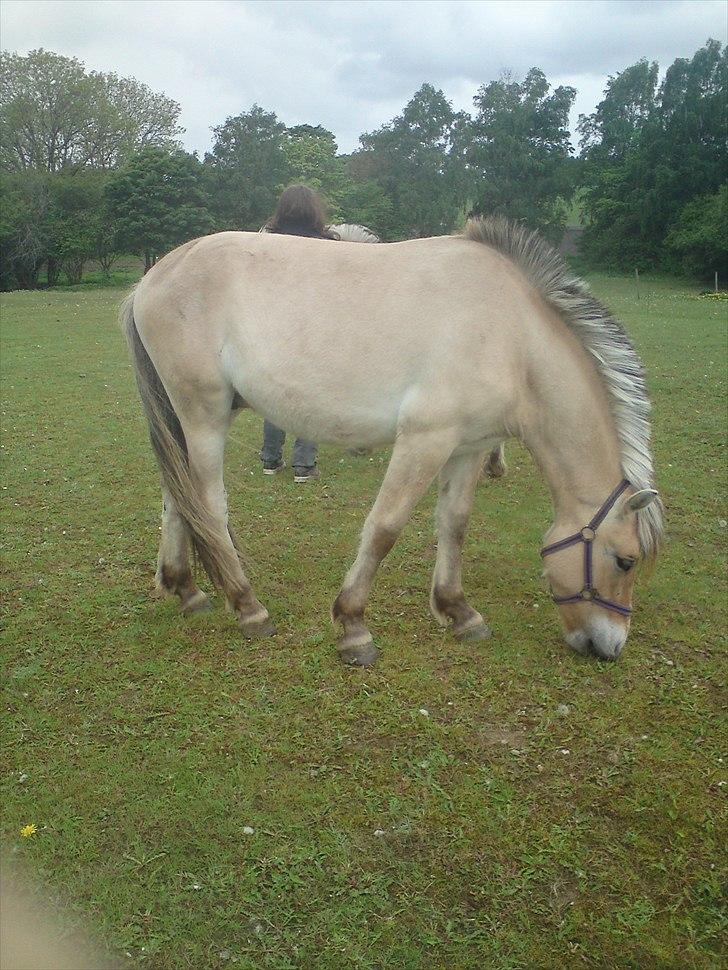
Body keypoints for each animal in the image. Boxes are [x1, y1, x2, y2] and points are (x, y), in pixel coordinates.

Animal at [121, 215, 664, 660]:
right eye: (626, 560)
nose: (609, 648)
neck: (512, 336)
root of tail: (154, 277)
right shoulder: (425, 440)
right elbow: (385, 528)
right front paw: (353, 626)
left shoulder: (468, 447)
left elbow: (454, 525)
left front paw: (458, 611)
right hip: (204, 416)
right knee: (208, 506)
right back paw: (247, 605)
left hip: (188, 418)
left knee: (177, 495)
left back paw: (187, 591)